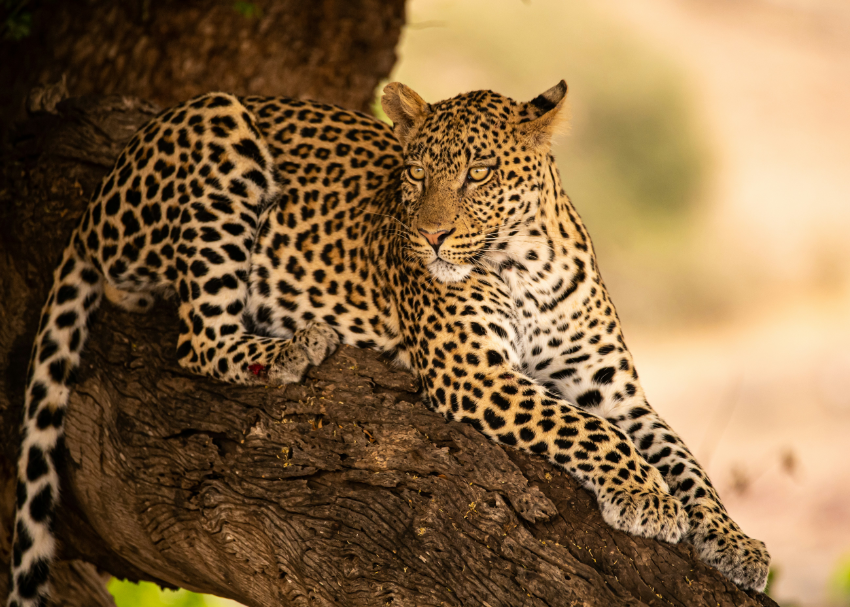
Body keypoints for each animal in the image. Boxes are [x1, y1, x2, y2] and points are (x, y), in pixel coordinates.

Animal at [8, 80, 770, 607]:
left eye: (479, 173)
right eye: (416, 173)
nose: (429, 237)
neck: (528, 260)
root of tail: (98, 195)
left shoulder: (619, 392)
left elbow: (685, 459)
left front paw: (735, 543)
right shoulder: (475, 373)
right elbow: (584, 428)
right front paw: (645, 495)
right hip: (216, 126)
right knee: (196, 335)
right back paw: (293, 347)